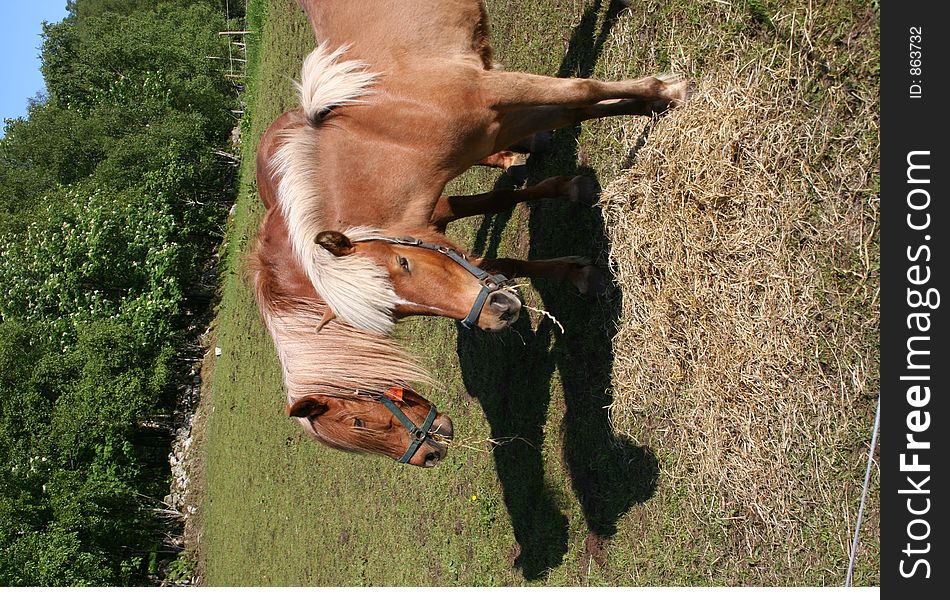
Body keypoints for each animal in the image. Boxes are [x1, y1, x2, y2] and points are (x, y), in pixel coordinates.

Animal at [249, 0, 692, 466]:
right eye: (399, 314)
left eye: (359, 418)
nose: (428, 454)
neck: (390, 130)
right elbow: (501, 244)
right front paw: (579, 264)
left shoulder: (495, 93)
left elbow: (583, 92)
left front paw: (668, 93)